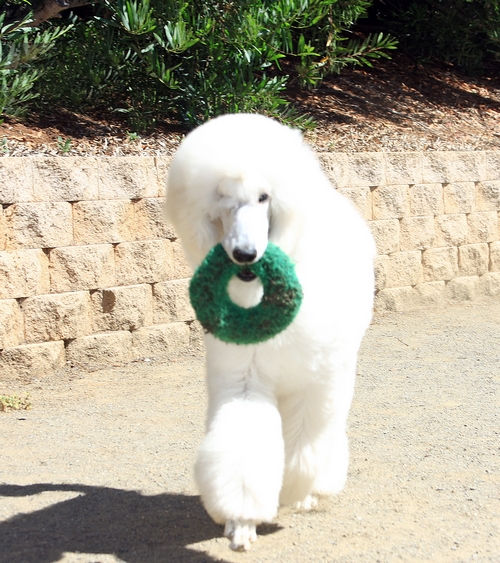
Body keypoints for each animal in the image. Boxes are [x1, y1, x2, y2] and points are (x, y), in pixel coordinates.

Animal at [165, 113, 376, 552]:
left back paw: (315, 490)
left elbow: (302, 450)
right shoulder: (245, 377)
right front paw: (241, 522)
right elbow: (243, 445)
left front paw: (293, 492)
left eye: (264, 197)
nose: (244, 255)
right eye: (222, 198)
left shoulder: (316, 383)